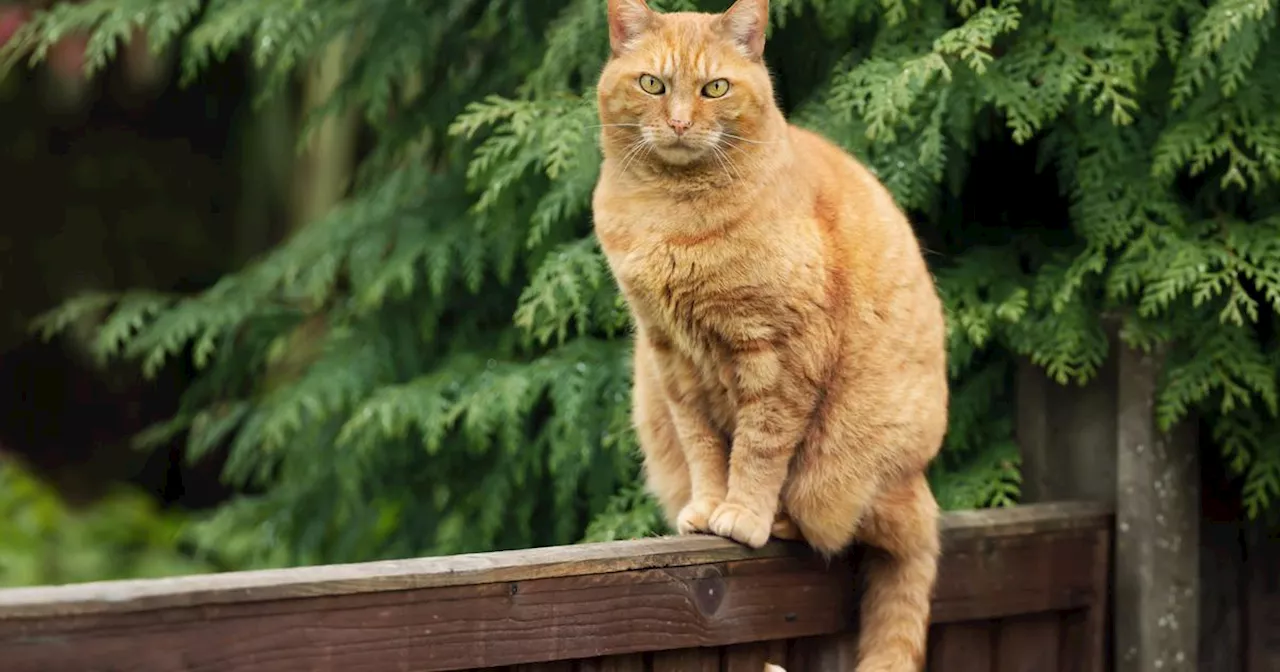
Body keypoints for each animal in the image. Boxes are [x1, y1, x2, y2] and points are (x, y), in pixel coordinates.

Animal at [593, 0, 947, 665]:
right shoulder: (671, 358)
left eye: (715, 88)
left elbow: (758, 448)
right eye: (652, 84)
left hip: (839, 472)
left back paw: (781, 520)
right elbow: (705, 445)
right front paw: (708, 507)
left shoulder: (778, 354)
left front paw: (742, 514)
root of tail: (922, 490)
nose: (679, 123)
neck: (671, 215)